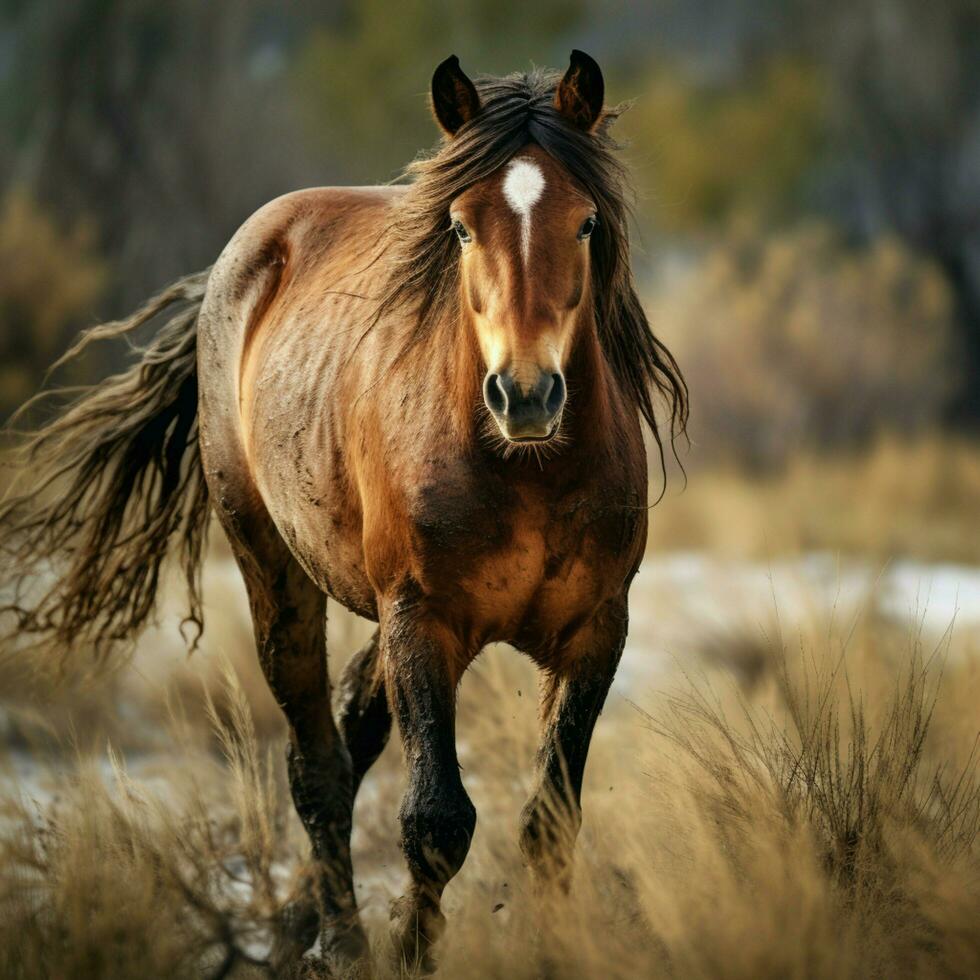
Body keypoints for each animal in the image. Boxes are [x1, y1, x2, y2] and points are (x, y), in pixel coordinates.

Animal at [1, 55, 688, 980]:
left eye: (585, 225)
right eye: (461, 229)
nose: (526, 396)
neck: (526, 470)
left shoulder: (596, 631)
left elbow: (547, 822)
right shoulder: (422, 619)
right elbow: (436, 821)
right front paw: (407, 950)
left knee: (355, 722)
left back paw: (301, 930)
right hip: (276, 574)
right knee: (317, 764)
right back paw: (342, 943)